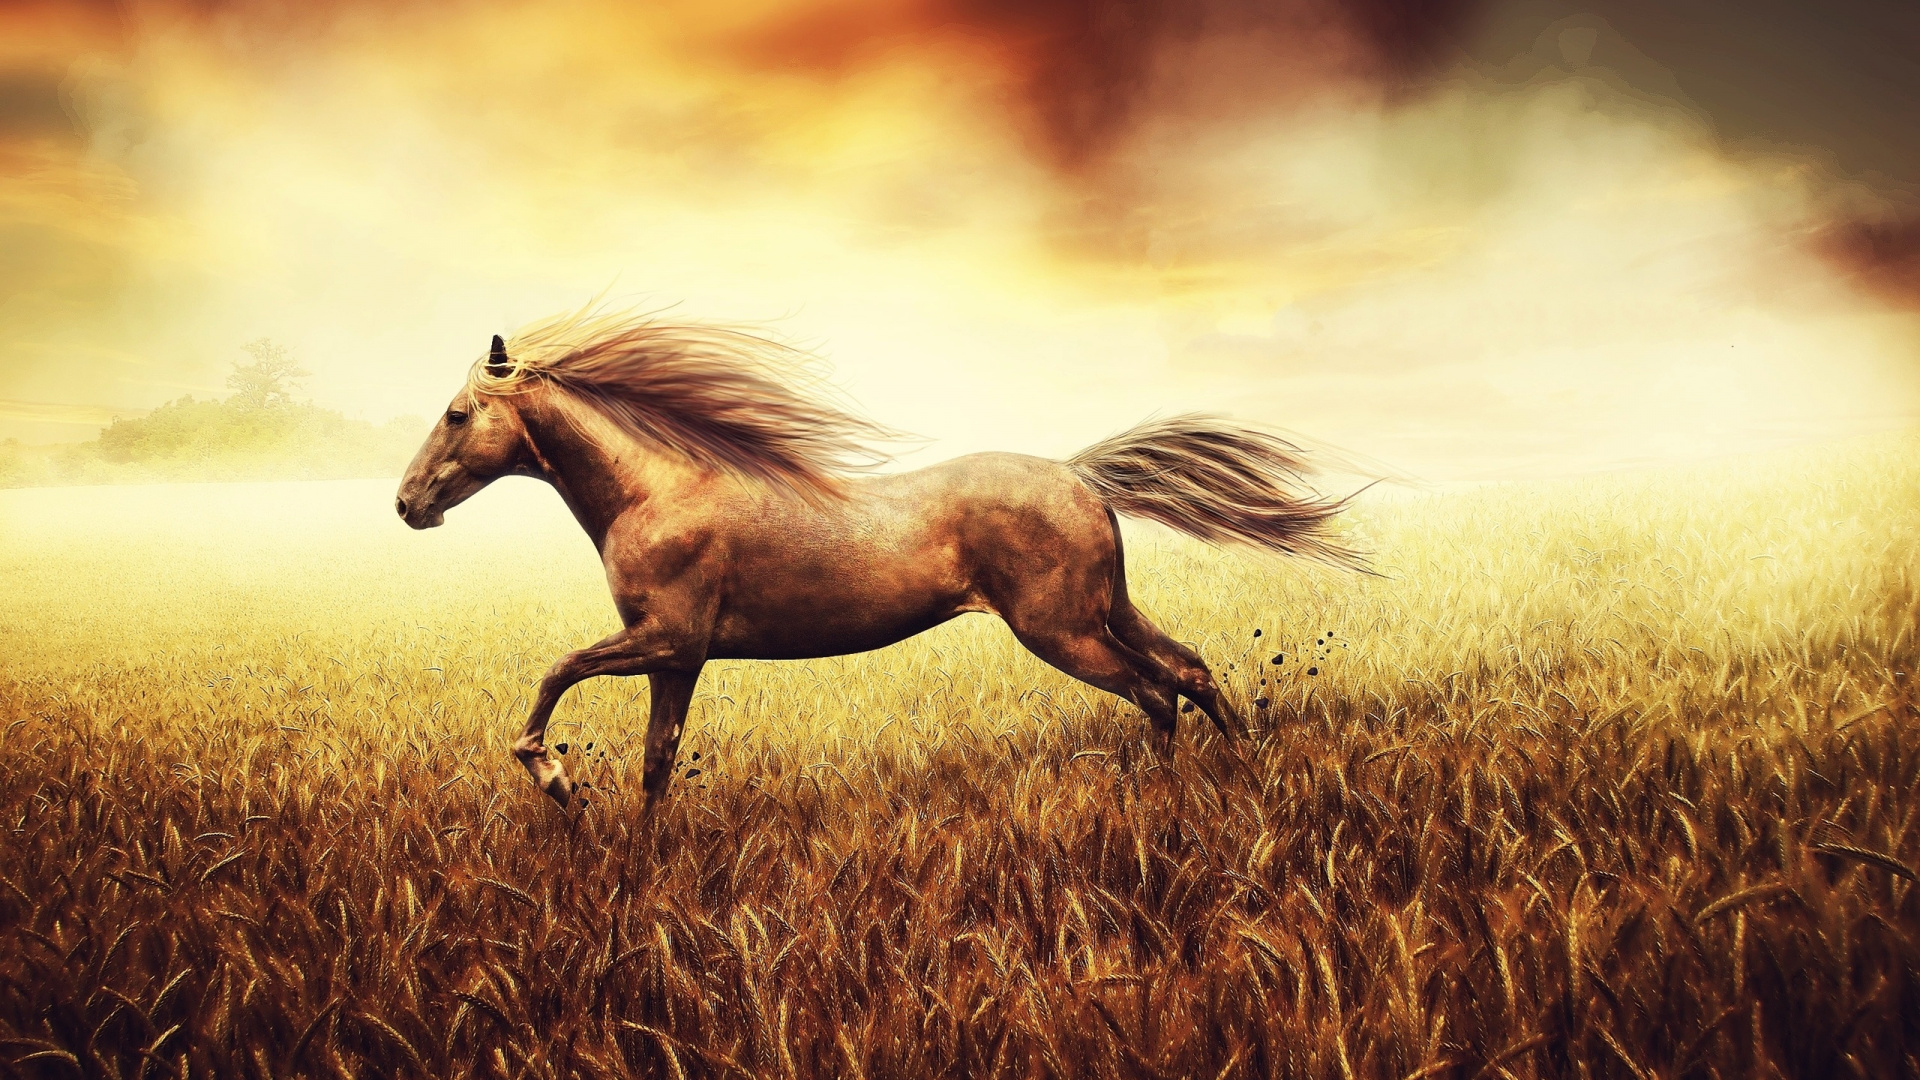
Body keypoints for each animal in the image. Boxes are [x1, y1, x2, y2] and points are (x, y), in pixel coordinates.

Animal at [396, 305, 1364, 809]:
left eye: (455, 413)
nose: (407, 505)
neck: (655, 491)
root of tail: (1079, 475)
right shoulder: (677, 659)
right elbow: (655, 765)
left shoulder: (667, 639)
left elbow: (556, 672)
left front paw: (554, 776)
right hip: (1105, 610)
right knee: (1190, 669)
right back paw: (1241, 775)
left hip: (1061, 631)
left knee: (1155, 691)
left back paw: (1171, 803)